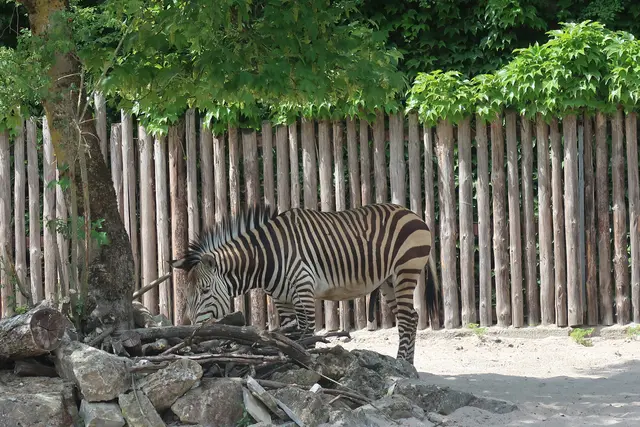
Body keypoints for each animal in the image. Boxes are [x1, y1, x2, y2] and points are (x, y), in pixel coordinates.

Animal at [169, 202, 439, 364]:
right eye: (187, 295)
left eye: (205, 291)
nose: (191, 333)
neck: (266, 257)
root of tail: (414, 213)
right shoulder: (282, 299)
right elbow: (289, 335)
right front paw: (288, 361)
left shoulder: (303, 290)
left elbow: (307, 333)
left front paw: (308, 364)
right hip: (387, 282)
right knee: (411, 318)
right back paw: (405, 364)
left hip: (405, 271)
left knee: (407, 319)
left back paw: (403, 363)